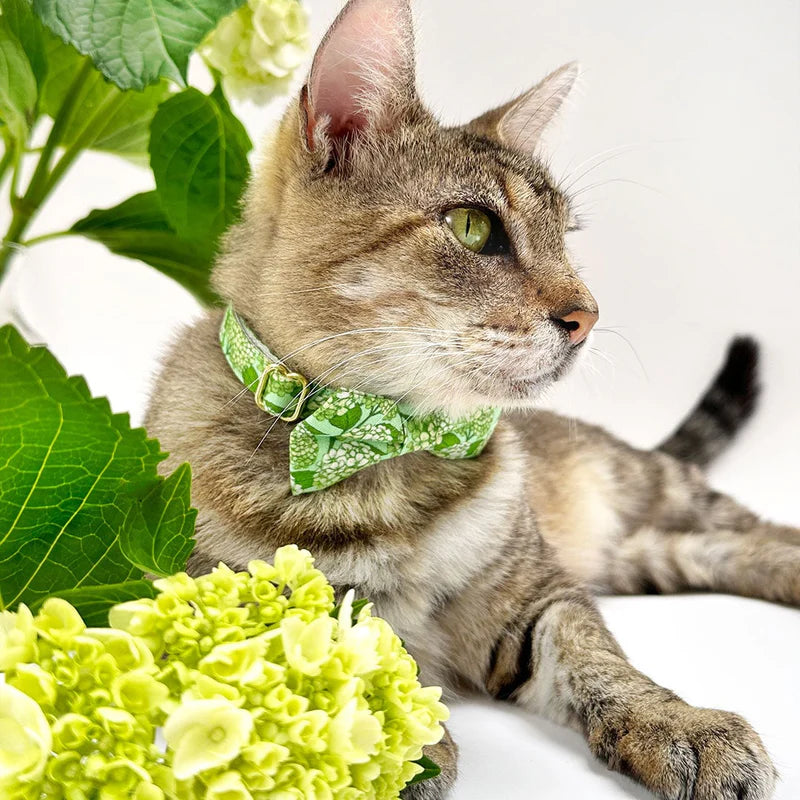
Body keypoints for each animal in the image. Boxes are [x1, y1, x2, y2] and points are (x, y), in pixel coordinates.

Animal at [147, 3, 796, 796]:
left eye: (563, 238)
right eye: (473, 227)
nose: (589, 316)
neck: (383, 449)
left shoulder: (540, 597)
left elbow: (601, 662)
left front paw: (683, 725)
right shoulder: (212, 594)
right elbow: (333, 636)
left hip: (658, 489)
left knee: (762, 533)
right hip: (650, 556)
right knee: (718, 551)